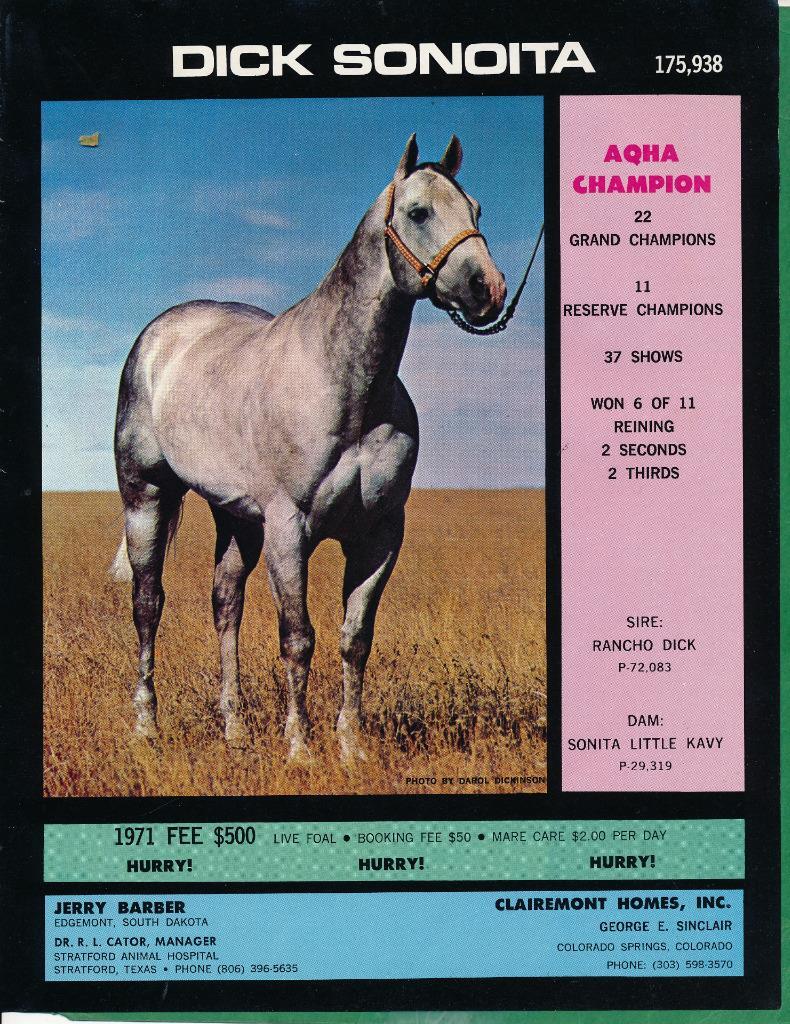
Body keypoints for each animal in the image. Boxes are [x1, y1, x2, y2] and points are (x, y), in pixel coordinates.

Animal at [111, 133, 506, 763]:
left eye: (476, 211)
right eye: (419, 212)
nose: (487, 290)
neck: (346, 386)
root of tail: (159, 336)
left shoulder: (378, 535)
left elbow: (354, 639)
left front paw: (351, 746)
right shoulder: (288, 530)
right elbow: (297, 638)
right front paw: (300, 746)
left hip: (237, 519)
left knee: (225, 605)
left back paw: (235, 729)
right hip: (146, 497)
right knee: (148, 605)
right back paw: (147, 726)